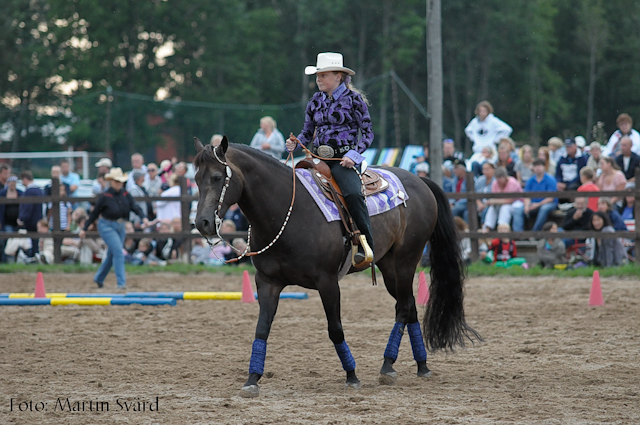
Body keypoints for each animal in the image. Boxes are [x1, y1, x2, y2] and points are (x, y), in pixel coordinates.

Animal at [192, 137, 478, 396]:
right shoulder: (267, 282)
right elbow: (262, 329)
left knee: (405, 307)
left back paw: (388, 366)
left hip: (406, 260)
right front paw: (252, 379)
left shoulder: (327, 281)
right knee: (409, 307)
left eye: (217, 177)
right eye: (195, 178)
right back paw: (420, 365)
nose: (203, 223)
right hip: (389, 268)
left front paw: (352, 376)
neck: (286, 210)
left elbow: (335, 329)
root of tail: (420, 181)